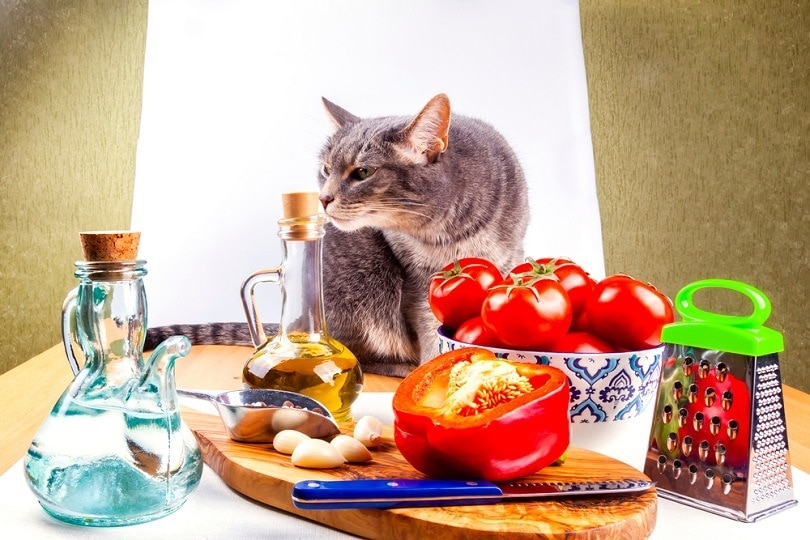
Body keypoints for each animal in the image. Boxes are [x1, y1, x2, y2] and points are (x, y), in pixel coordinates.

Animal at [144, 93, 532, 378]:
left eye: (363, 172)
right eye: (326, 169)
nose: (323, 197)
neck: (448, 230)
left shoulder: (507, 258)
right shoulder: (416, 283)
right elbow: (427, 332)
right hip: (366, 282)